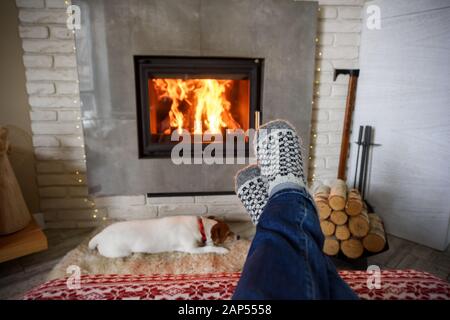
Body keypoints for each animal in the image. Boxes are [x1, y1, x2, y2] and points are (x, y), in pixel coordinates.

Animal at [87, 215, 236, 258]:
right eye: (228, 233)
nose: (239, 237)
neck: (200, 227)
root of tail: (100, 235)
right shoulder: (191, 249)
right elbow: (209, 248)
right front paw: (222, 250)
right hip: (121, 252)